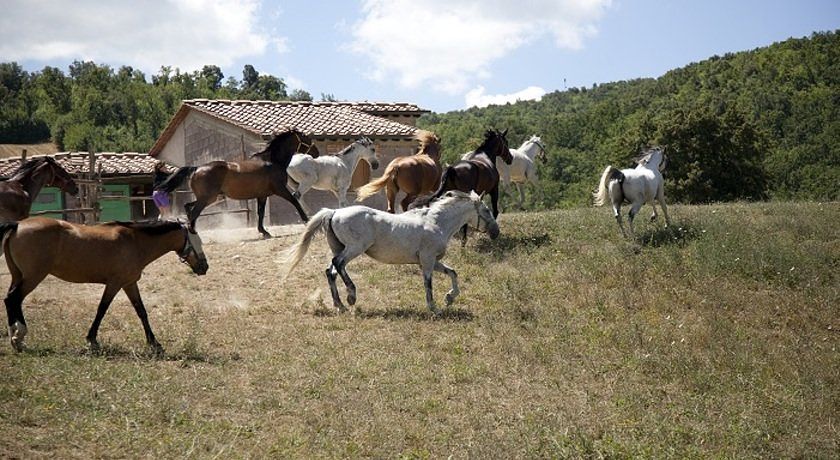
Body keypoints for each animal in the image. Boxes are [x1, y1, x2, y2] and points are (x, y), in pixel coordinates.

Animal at [0, 217, 208, 354]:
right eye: (197, 240)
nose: (204, 267)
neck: (135, 241)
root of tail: (18, 225)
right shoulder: (114, 283)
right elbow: (102, 309)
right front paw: (92, 340)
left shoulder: (129, 283)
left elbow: (141, 311)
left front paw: (154, 344)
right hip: (33, 276)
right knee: (13, 299)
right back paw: (18, 338)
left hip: (18, 276)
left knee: (10, 300)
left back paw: (16, 339)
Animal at [156, 127, 320, 239]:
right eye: (307, 139)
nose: (317, 153)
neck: (272, 161)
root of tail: (196, 169)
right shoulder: (280, 189)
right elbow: (295, 201)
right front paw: (306, 220)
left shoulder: (262, 195)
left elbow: (260, 213)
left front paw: (264, 232)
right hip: (208, 198)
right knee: (193, 212)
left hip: (207, 198)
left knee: (188, 208)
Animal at [278, 190, 502, 312]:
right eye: (486, 210)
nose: (496, 232)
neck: (437, 222)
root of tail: (334, 212)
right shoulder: (428, 261)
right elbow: (428, 284)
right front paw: (434, 308)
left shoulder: (433, 261)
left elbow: (453, 273)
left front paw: (449, 298)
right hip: (354, 248)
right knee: (338, 265)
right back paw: (351, 296)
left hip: (340, 248)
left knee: (330, 271)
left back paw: (339, 304)